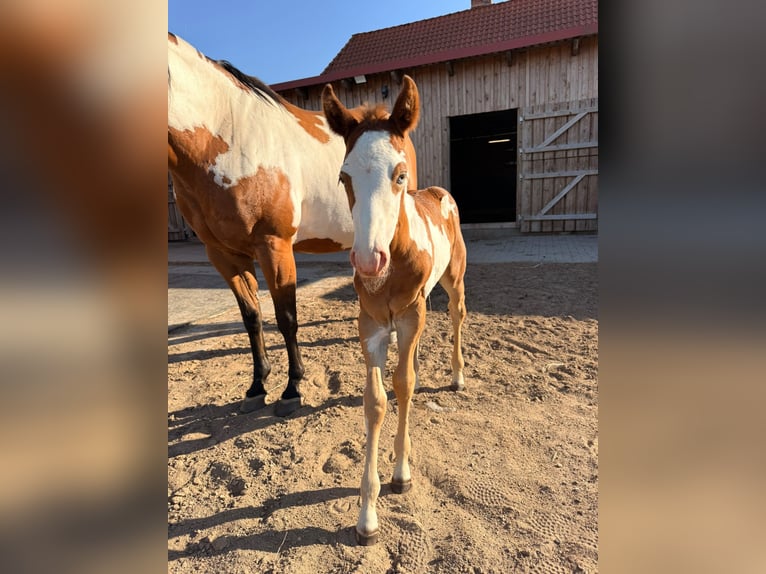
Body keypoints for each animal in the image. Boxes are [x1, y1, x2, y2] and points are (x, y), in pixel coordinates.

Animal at [168, 32, 356, 416]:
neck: (224, 140)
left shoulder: (274, 246)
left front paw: (292, 389)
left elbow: (286, 317)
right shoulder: (223, 254)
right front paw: (258, 385)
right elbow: (251, 317)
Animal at [322, 75, 467, 545]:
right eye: (344, 176)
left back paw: (457, 376)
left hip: (452, 282)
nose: (369, 262)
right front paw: (367, 516)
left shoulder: (409, 314)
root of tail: (439, 193)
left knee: (456, 318)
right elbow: (377, 400)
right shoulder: (371, 324)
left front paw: (401, 474)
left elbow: (403, 386)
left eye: (399, 174)